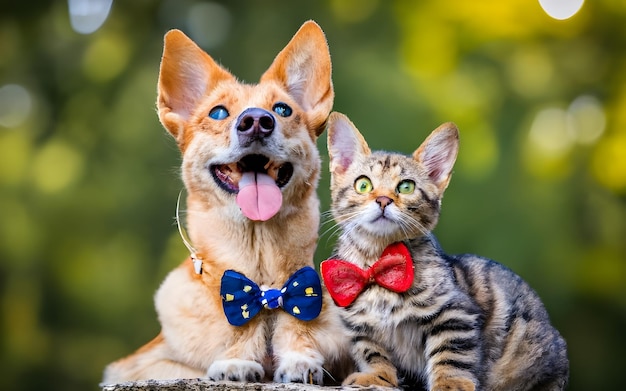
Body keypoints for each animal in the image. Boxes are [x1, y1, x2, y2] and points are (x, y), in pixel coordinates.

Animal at [100, 21, 348, 386]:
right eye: (218, 113)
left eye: (282, 110)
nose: (257, 121)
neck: (262, 285)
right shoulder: (134, 365)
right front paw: (235, 361)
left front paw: (300, 358)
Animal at [320, 112, 568, 390]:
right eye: (363, 185)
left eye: (406, 187)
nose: (383, 200)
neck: (376, 261)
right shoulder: (360, 327)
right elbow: (373, 352)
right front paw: (378, 375)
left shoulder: (455, 314)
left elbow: (451, 354)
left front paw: (451, 383)